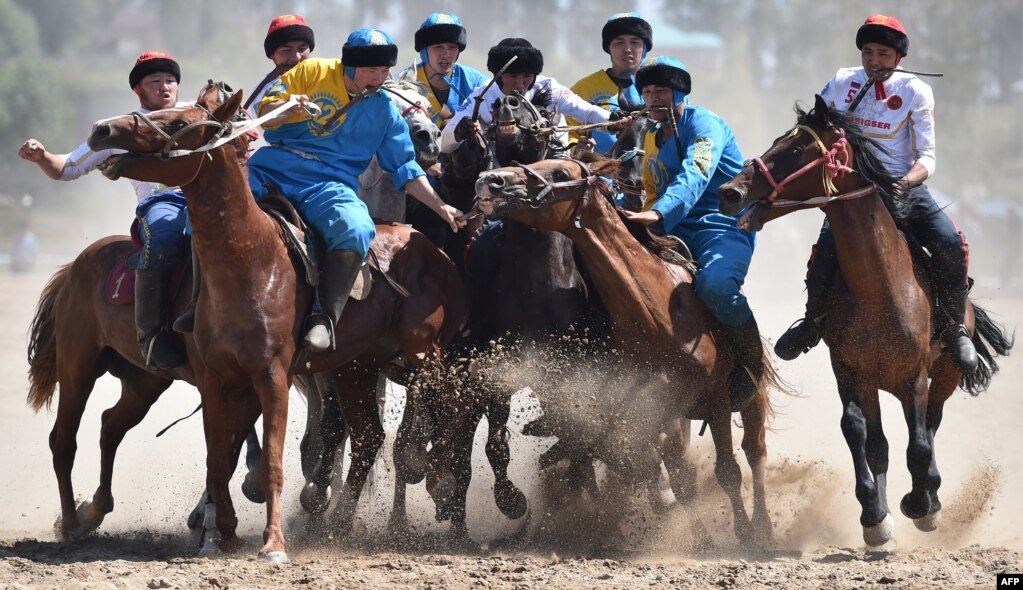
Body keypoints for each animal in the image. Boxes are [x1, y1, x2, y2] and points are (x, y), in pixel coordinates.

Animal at [75, 81, 464, 556]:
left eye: (181, 121)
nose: (102, 129)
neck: (251, 261)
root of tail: (434, 251)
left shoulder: (273, 375)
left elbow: (275, 462)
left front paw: (274, 541)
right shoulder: (217, 379)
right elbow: (218, 460)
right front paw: (220, 530)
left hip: (424, 353)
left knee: (444, 403)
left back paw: (437, 484)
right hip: (358, 367)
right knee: (369, 437)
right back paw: (340, 522)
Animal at [468, 154, 777, 543]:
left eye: (560, 171)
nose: (490, 179)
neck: (656, 316)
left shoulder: (716, 400)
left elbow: (728, 471)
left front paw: (746, 536)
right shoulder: (654, 411)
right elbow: (678, 478)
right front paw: (703, 541)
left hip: (752, 394)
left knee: (755, 453)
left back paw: (764, 527)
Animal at [716, 94, 1010, 543]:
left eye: (796, 149)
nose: (730, 192)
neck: (879, 289)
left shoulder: (915, 375)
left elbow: (919, 444)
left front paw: (920, 505)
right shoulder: (849, 371)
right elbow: (858, 433)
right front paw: (874, 515)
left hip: (944, 374)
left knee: (932, 426)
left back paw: (931, 497)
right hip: (877, 383)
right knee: (882, 445)